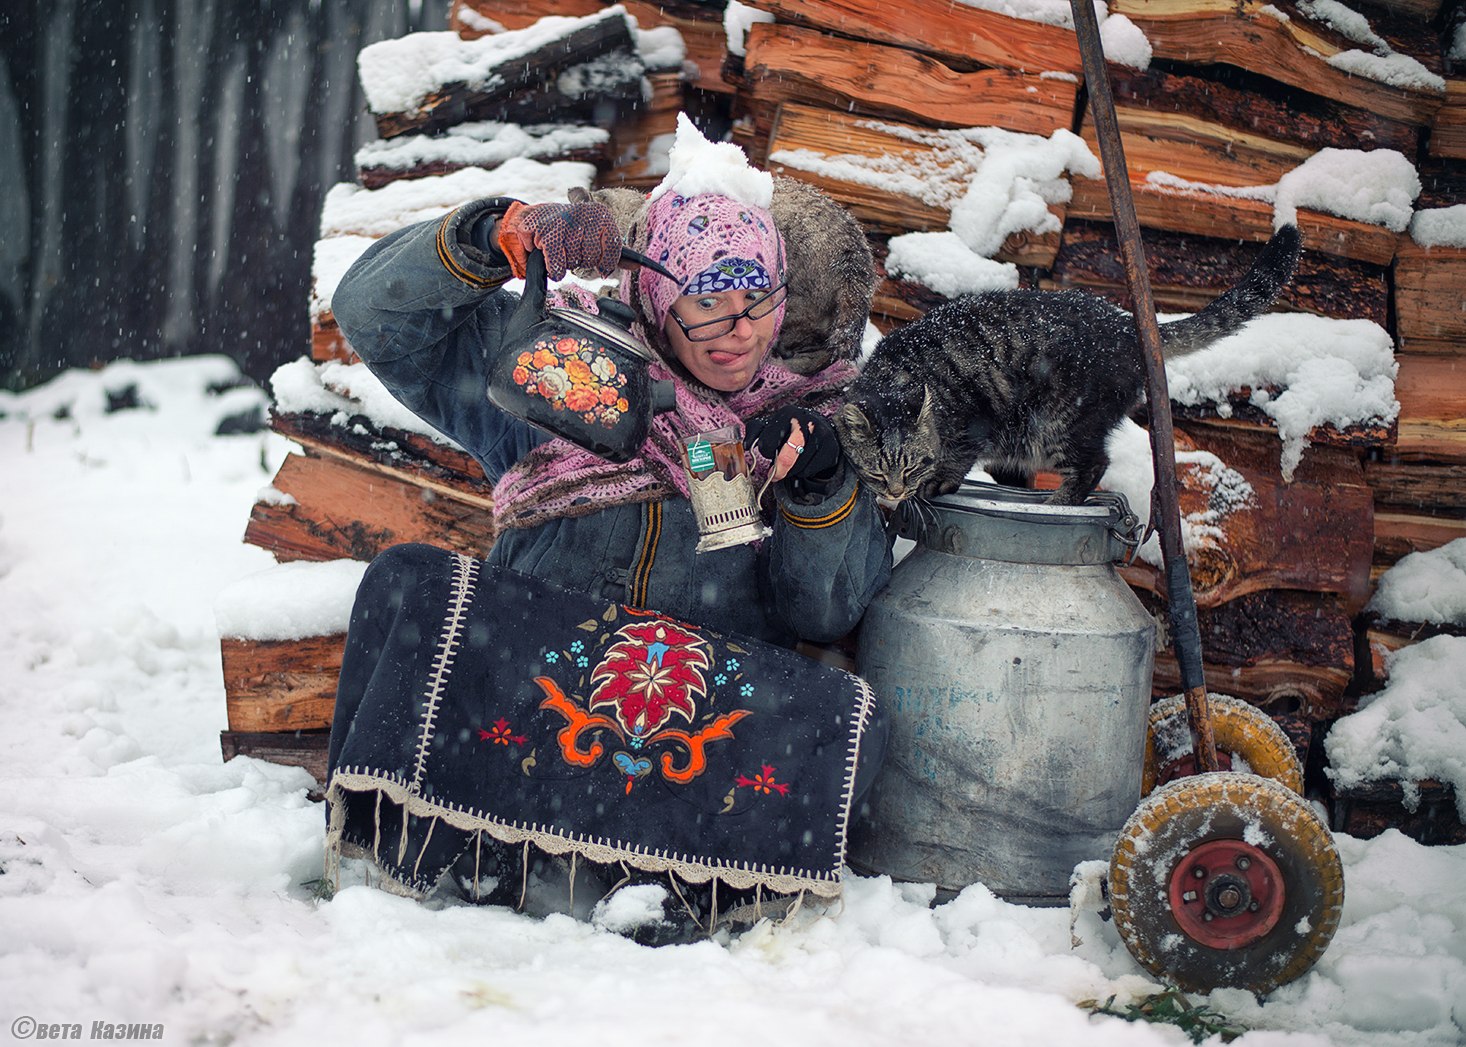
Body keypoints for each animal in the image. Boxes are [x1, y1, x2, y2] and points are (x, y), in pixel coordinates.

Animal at [838, 224, 1307, 504]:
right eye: (876, 472)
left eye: (913, 466)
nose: (895, 494)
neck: (900, 373)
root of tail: (1125, 324)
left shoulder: (975, 422)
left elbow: (955, 460)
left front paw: (936, 482)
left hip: (1057, 424)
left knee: (1094, 464)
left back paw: (1059, 502)